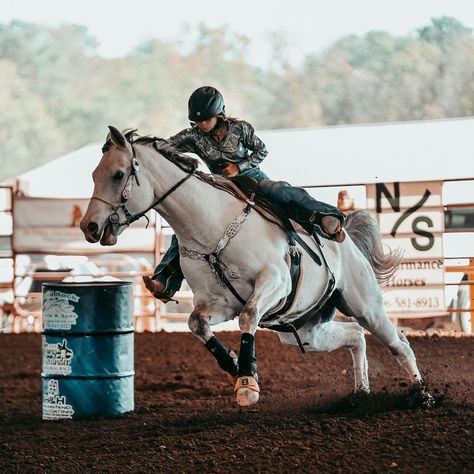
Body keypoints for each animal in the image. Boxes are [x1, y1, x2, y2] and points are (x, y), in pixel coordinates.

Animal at [81, 126, 434, 408]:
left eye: (117, 174)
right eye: (94, 175)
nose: (89, 226)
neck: (211, 228)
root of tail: (349, 244)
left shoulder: (274, 283)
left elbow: (249, 318)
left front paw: (247, 384)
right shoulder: (219, 303)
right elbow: (197, 324)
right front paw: (234, 365)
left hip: (365, 305)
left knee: (399, 345)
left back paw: (423, 396)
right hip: (303, 331)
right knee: (355, 337)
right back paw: (360, 394)